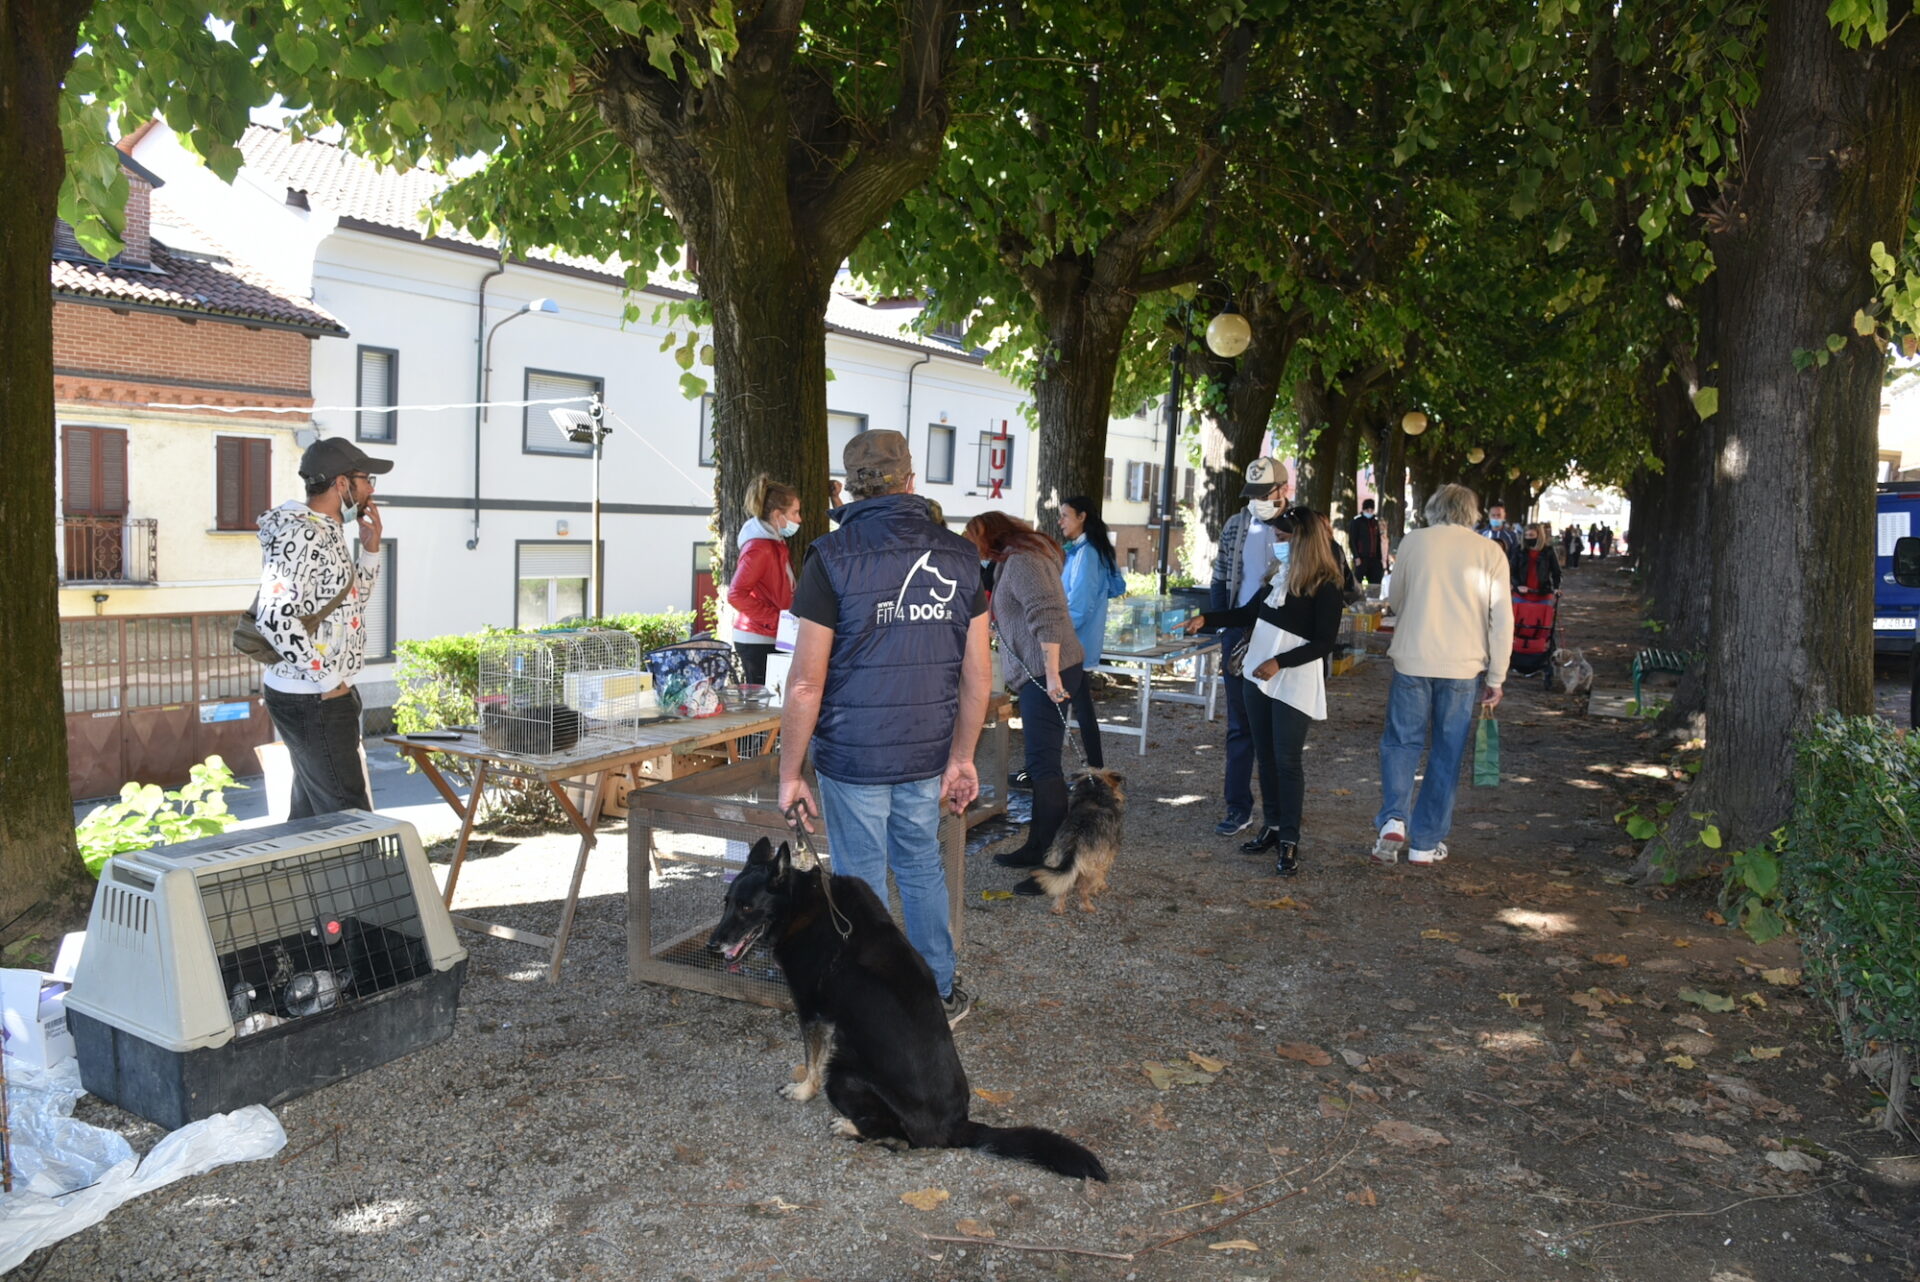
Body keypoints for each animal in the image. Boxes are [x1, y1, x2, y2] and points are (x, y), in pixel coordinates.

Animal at [714, 840, 1113, 1182]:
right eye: (726, 902)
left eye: (747, 908)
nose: (712, 944)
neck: (802, 903)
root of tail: (958, 1126)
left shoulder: (814, 1014)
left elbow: (813, 1061)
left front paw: (802, 1091)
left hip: (843, 1076)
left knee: (896, 1135)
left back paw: (850, 1126)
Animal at [1013, 771, 1128, 909]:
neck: (1094, 793)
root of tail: (1075, 840)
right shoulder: (1106, 855)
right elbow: (1101, 875)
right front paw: (1100, 886)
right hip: (1089, 865)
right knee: (1082, 888)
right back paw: (1087, 907)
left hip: (1055, 856)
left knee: (1062, 885)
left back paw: (1057, 908)